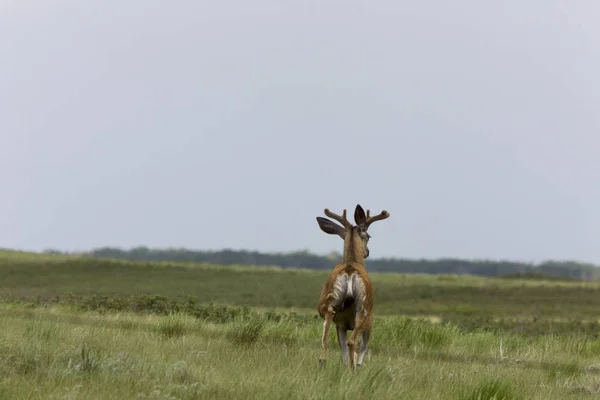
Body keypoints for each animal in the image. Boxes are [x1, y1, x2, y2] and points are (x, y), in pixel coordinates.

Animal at [316, 205, 392, 370]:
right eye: (368, 236)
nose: (367, 252)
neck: (353, 260)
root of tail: (350, 272)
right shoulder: (369, 322)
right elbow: (363, 347)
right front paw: (358, 365)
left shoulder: (341, 325)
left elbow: (342, 349)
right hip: (364, 310)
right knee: (352, 342)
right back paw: (353, 368)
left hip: (330, 303)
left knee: (327, 329)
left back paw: (323, 361)